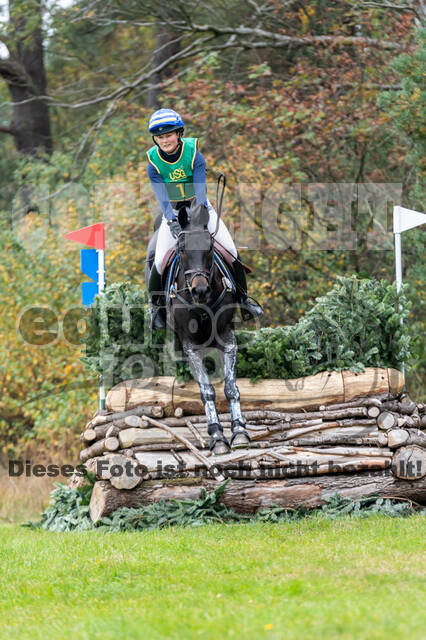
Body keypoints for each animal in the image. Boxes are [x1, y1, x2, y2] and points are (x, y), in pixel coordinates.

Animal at [146, 200, 253, 456]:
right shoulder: (191, 346)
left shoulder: (227, 338)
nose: (200, 291)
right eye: (181, 249)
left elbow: (231, 387)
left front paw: (239, 432)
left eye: (211, 247)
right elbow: (206, 390)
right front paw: (217, 436)